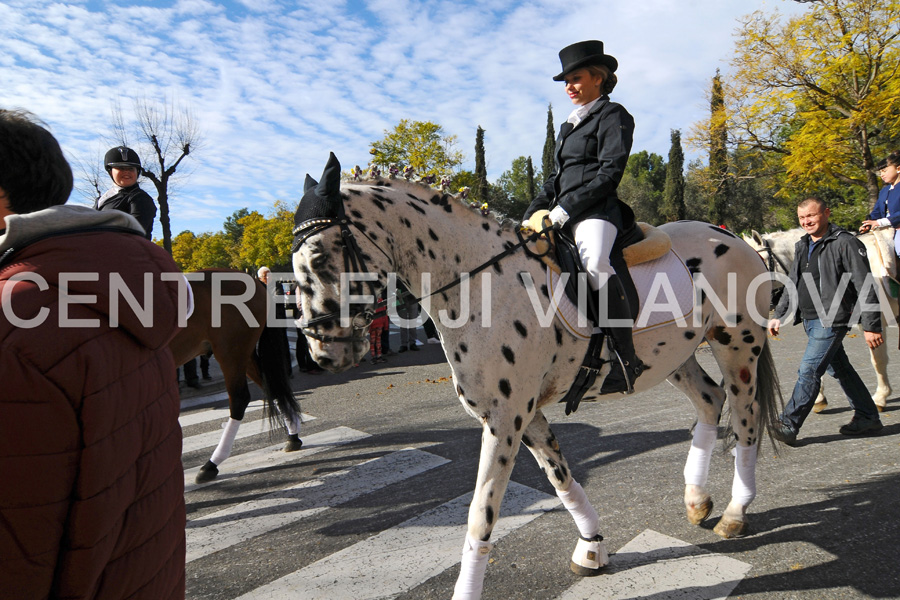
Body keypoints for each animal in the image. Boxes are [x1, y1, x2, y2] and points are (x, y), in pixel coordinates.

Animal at [169, 270, 306, 486]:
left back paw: (211, 464)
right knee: (272, 388)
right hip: (243, 354)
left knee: (240, 399)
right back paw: (293, 437)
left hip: (230, 353)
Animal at [290, 155, 780, 600]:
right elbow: (560, 478)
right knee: (710, 400)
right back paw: (697, 502)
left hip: (737, 346)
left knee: (746, 421)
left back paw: (735, 513)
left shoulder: (505, 419)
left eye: (318, 256)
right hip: (674, 357)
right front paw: (591, 548)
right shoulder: (523, 416)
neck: (482, 282)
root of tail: (733, 237)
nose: (322, 352)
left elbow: (482, 513)